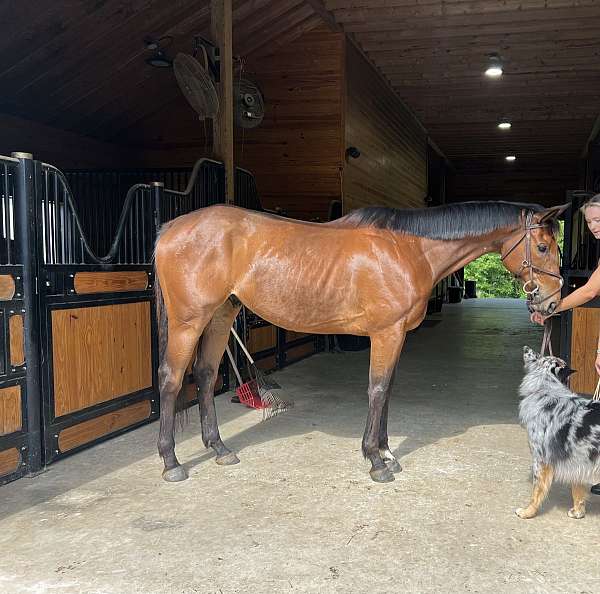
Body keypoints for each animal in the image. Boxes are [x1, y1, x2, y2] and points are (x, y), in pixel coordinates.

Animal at [154, 199, 568, 480]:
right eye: (543, 247)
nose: (551, 302)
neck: (409, 249)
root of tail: (170, 228)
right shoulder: (386, 334)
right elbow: (378, 389)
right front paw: (375, 459)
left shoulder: (397, 336)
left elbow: (388, 390)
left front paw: (386, 452)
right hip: (189, 321)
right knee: (172, 380)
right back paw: (171, 461)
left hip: (221, 315)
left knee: (205, 375)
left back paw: (219, 448)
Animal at [516, 344, 600, 516]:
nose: (526, 348)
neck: (545, 390)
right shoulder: (577, 459)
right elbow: (577, 489)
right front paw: (578, 511)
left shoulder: (541, 459)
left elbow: (536, 491)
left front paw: (528, 512)